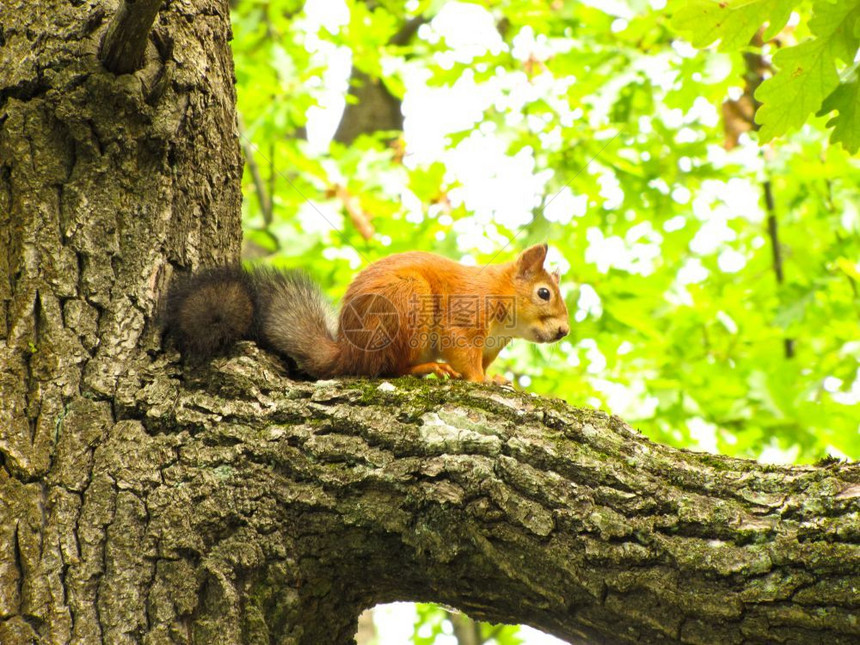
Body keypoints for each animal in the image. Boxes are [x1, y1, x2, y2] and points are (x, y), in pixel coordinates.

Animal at [165, 243, 572, 382]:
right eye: (544, 293)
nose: (564, 332)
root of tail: (349, 352)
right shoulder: (463, 320)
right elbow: (465, 358)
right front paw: (481, 381)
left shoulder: (490, 346)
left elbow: (483, 362)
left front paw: (496, 378)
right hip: (406, 309)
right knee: (389, 368)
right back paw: (425, 368)